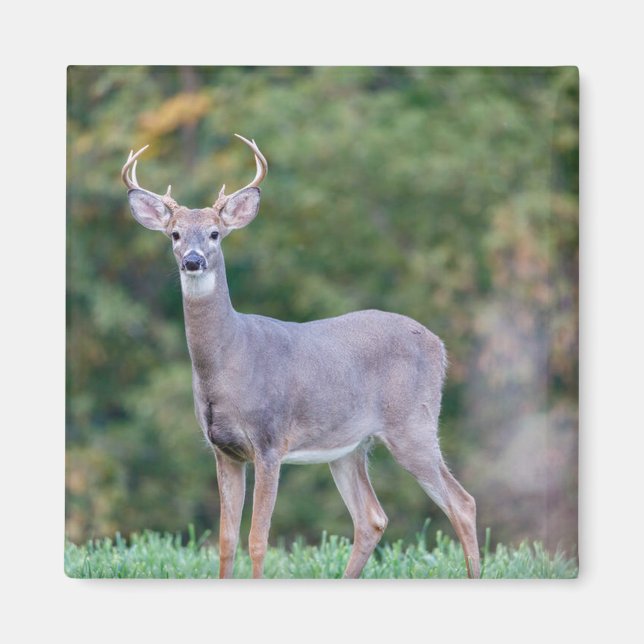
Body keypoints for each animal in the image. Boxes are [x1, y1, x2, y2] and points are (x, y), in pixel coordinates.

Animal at [121, 134, 480, 579]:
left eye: (215, 234)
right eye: (173, 234)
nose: (193, 260)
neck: (227, 363)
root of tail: (440, 345)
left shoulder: (270, 442)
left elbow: (257, 540)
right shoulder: (223, 450)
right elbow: (225, 541)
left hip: (414, 423)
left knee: (462, 503)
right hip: (349, 445)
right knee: (372, 518)